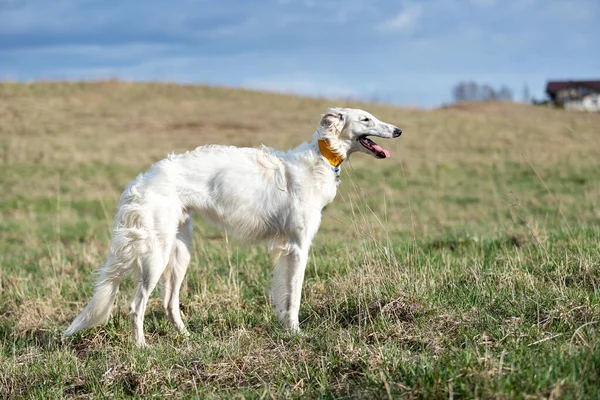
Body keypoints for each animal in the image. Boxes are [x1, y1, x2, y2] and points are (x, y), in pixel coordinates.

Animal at [64, 107, 404, 346]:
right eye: (366, 118)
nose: (399, 130)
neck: (319, 159)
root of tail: (141, 180)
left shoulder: (287, 250)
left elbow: (284, 297)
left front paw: (286, 329)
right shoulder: (298, 246)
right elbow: (294, 297)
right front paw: (296, 334)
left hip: (181, 250)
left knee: (169, 302)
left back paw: (187, 338)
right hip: (156, 255)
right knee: (136, 305)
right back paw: (142, 347)